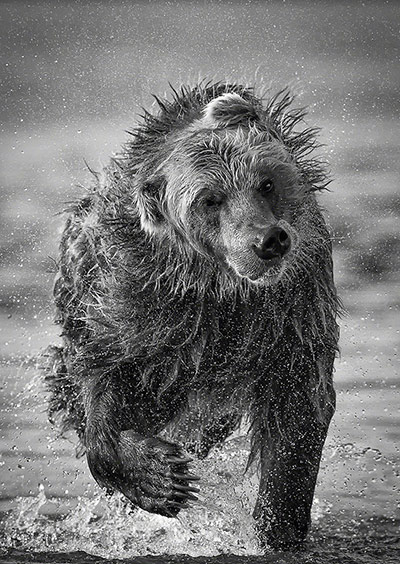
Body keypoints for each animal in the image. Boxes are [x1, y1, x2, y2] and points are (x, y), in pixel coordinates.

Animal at [44, 83, 340, 552]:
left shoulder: (294, 308)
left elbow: (297, 409)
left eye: (266, 182)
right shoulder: (141, 306)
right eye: (209, 199)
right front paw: (159, 479)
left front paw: (276, 527)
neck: (220, 290)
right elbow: (107, 381)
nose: (269, 240)